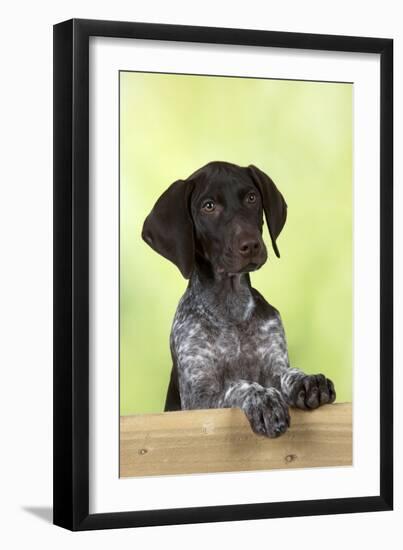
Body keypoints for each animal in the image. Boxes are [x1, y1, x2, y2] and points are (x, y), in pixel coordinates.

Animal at [142, 162, 338, 438]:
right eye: (208, 206)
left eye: (252, 198)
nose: (251, 245)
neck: (231, 308)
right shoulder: (198, 398)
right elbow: (239, 386)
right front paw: (263, 399)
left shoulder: (275, 365)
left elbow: (288, 374)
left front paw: (307, 379)